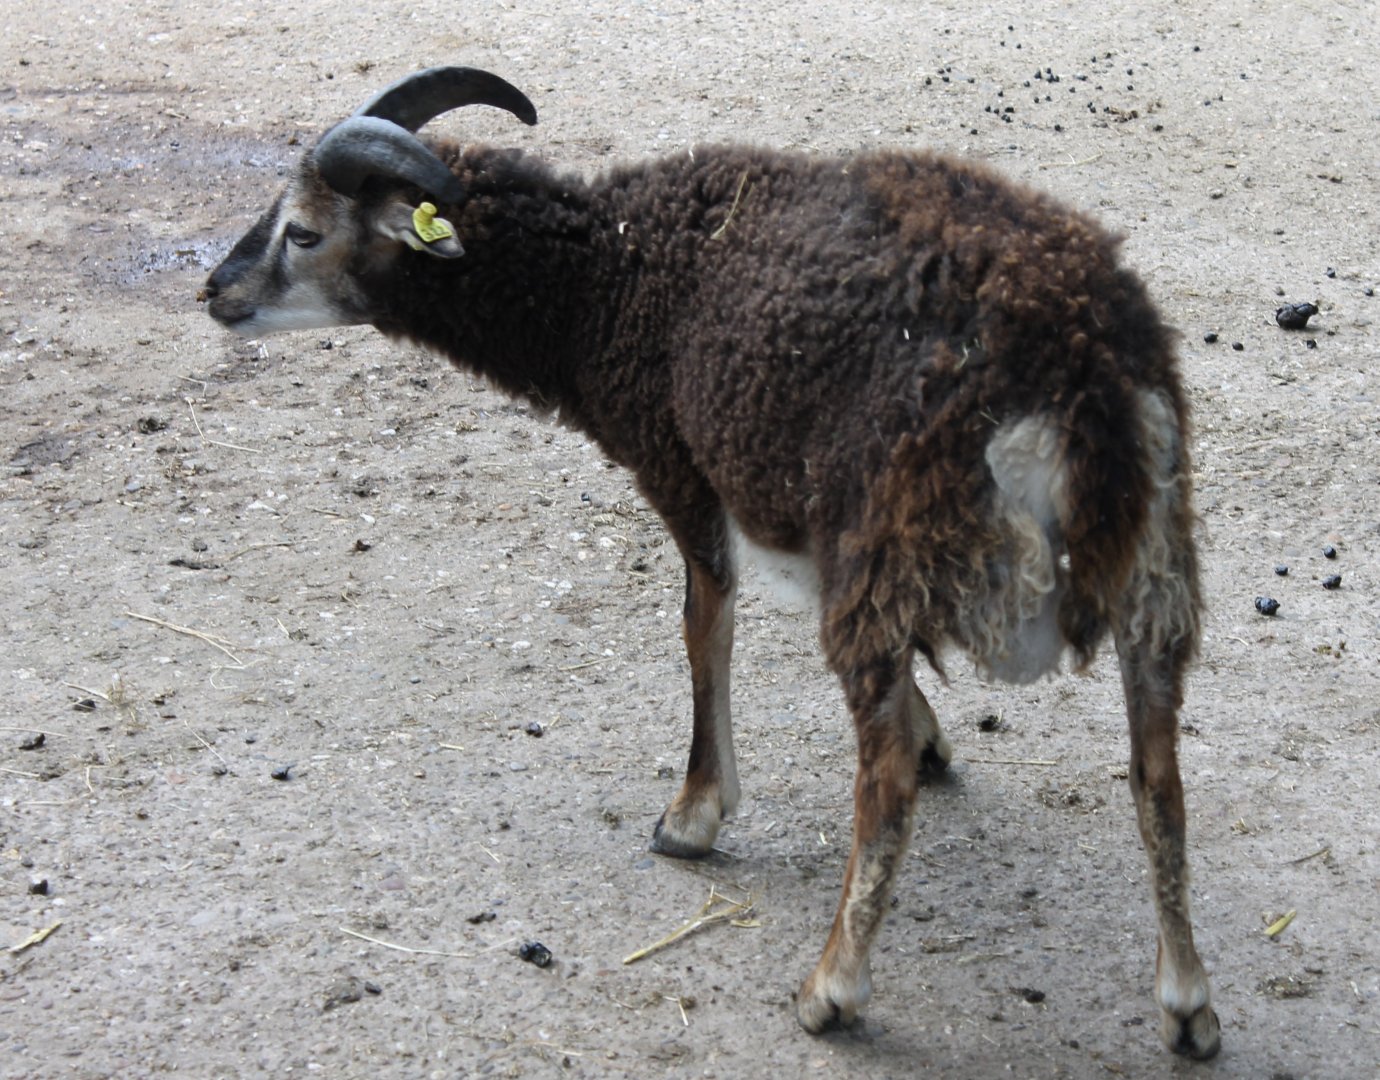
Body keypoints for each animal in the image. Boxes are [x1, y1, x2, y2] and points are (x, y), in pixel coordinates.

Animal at [202, 65, 1219, 1058]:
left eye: (303, 230)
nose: (214, 291)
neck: (609, 278)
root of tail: (1080, 376)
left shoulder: (681, 467)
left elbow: (704, 631)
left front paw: (691, 815)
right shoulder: (791, 505)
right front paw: (935, 733)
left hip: (893, 537)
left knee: (884, 780)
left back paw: (831, 991)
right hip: (1151, 564)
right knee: (1158, 776)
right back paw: (1188, 1006)